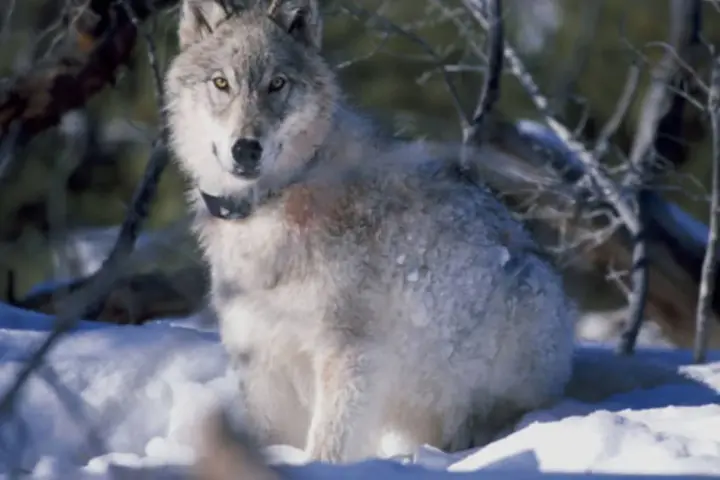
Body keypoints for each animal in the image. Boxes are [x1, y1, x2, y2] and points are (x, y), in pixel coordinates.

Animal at [165, 0, 577, 463]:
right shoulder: (261, 358)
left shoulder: (350, 355)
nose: (246, 148)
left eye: (277, 84)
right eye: (222, 83)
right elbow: (269, 439)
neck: (274, 203)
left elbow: (328, 444)